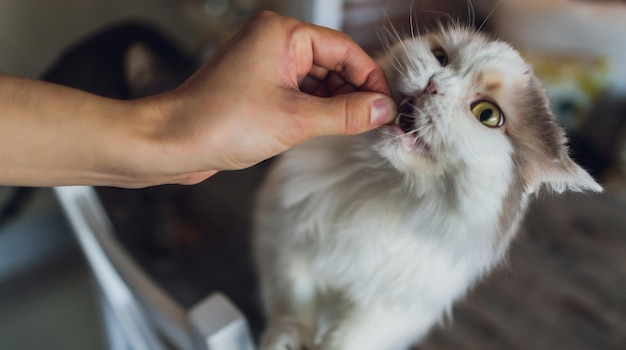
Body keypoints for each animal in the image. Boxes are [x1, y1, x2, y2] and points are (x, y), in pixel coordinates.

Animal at [251, 23, 604, 350]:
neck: (384, 188)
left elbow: (348, 339)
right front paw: (285, 342)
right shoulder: (285, 242)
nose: (434, 84)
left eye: (488, 114)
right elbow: (293, 306)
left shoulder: (396, 310)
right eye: (440, 58)